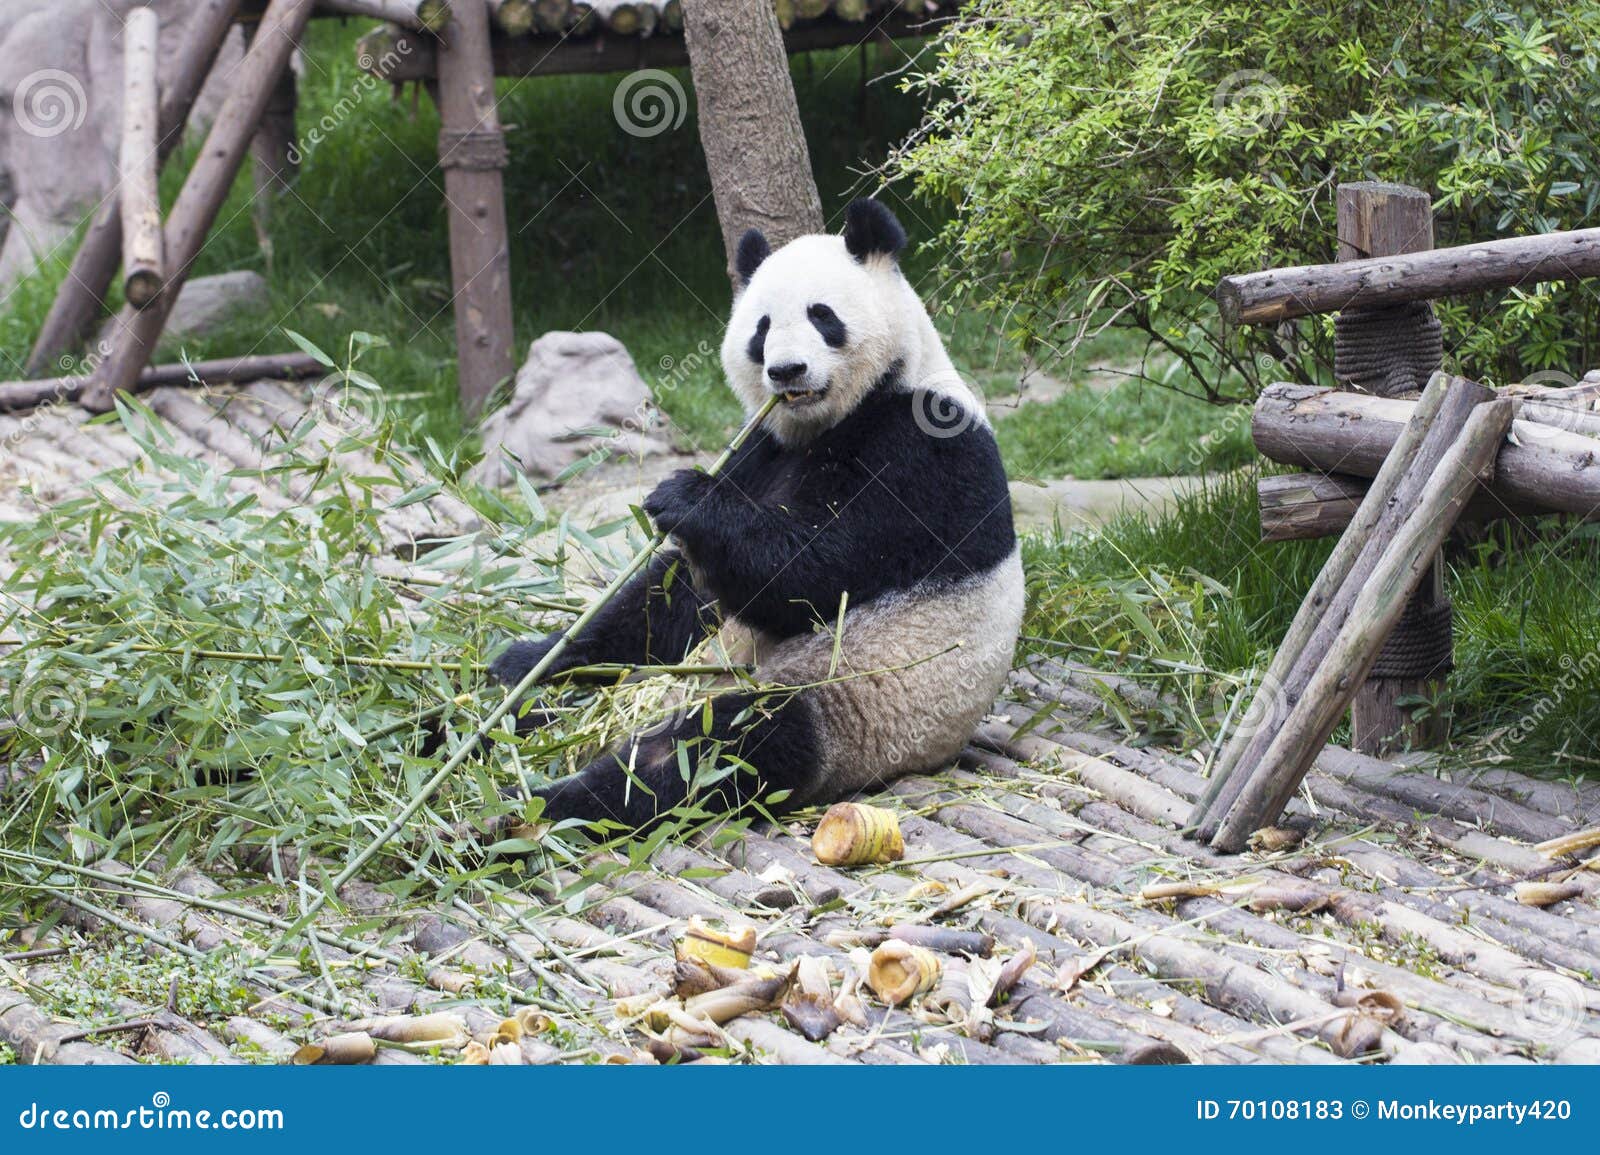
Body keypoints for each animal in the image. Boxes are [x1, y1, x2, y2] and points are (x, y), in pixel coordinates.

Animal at [489, 199, 1024, 828]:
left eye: (822, 315)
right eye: (762, 328)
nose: (786, 371)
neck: (837, 417)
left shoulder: (924, 451)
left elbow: (815, 575)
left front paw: (685, 496)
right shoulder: (761, 447)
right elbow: (679, 592)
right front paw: (540, 652)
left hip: (854, 700)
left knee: (729, 746)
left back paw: (551, 803)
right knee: (583, 685)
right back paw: (498, 696)